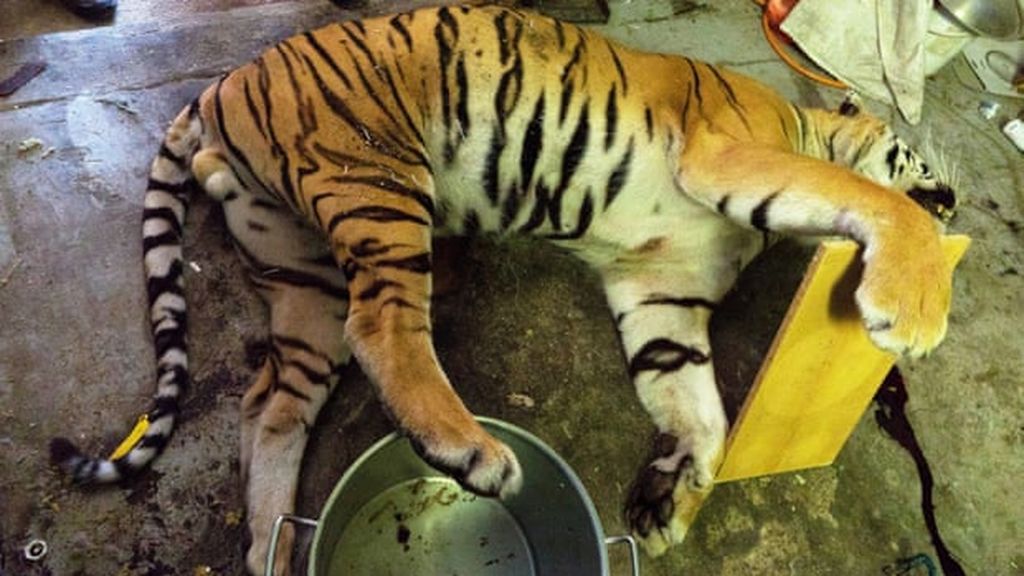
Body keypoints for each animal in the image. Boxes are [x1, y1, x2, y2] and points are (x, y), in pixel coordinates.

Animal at [48, 4, 958, 575]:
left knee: (270, 401)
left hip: (303, 269)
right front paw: (914, 308)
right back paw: (475, 456)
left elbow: (705, 418)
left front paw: (667, 510)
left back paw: (269, 548)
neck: (804, 125)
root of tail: (218, 86)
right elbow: (871, 198)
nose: (953, 199)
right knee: (384, 327)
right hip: (377, 176)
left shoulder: (662, 291)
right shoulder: (730, 156)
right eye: (925, 164)